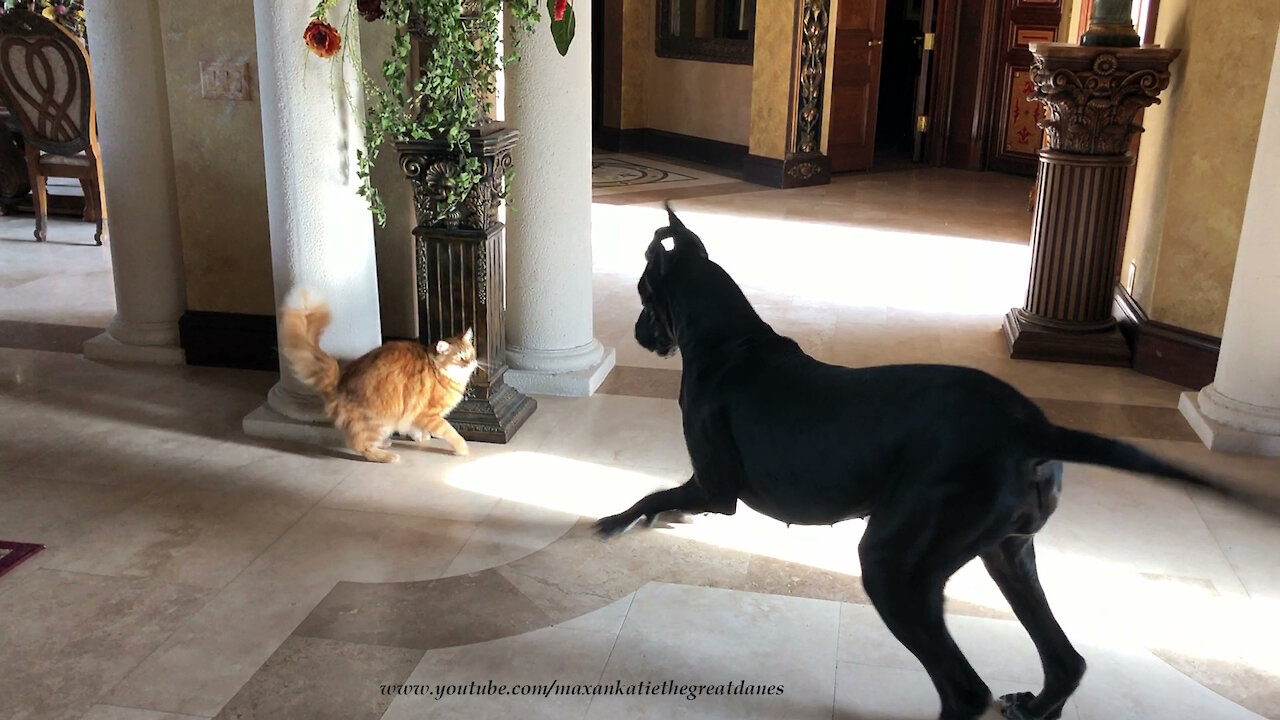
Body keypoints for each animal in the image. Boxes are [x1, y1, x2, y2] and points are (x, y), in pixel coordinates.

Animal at [280, 285, 481, 458]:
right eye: (460, 358)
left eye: (471, 354)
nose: (471, 363)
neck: (440, 373)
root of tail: (339, 383)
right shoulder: (428, 415)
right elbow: (450, 432)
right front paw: (462, 448)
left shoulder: (413, 414)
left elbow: (413, 428)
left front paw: (421, 438)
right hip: (381, 422)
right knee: (358, 445)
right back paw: (387, 456)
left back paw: (384, 445)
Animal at [593, 202, 1233, 717]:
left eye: (644, 295)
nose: (638, 331)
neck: (730, 339)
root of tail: (1032, 428)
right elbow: (666, 497)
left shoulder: (716, 487)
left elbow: (655, 492)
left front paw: (617, 519)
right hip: (1007, 553)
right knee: (1064, 661)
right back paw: (1035, 705)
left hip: (894, 564)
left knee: (965, 690)